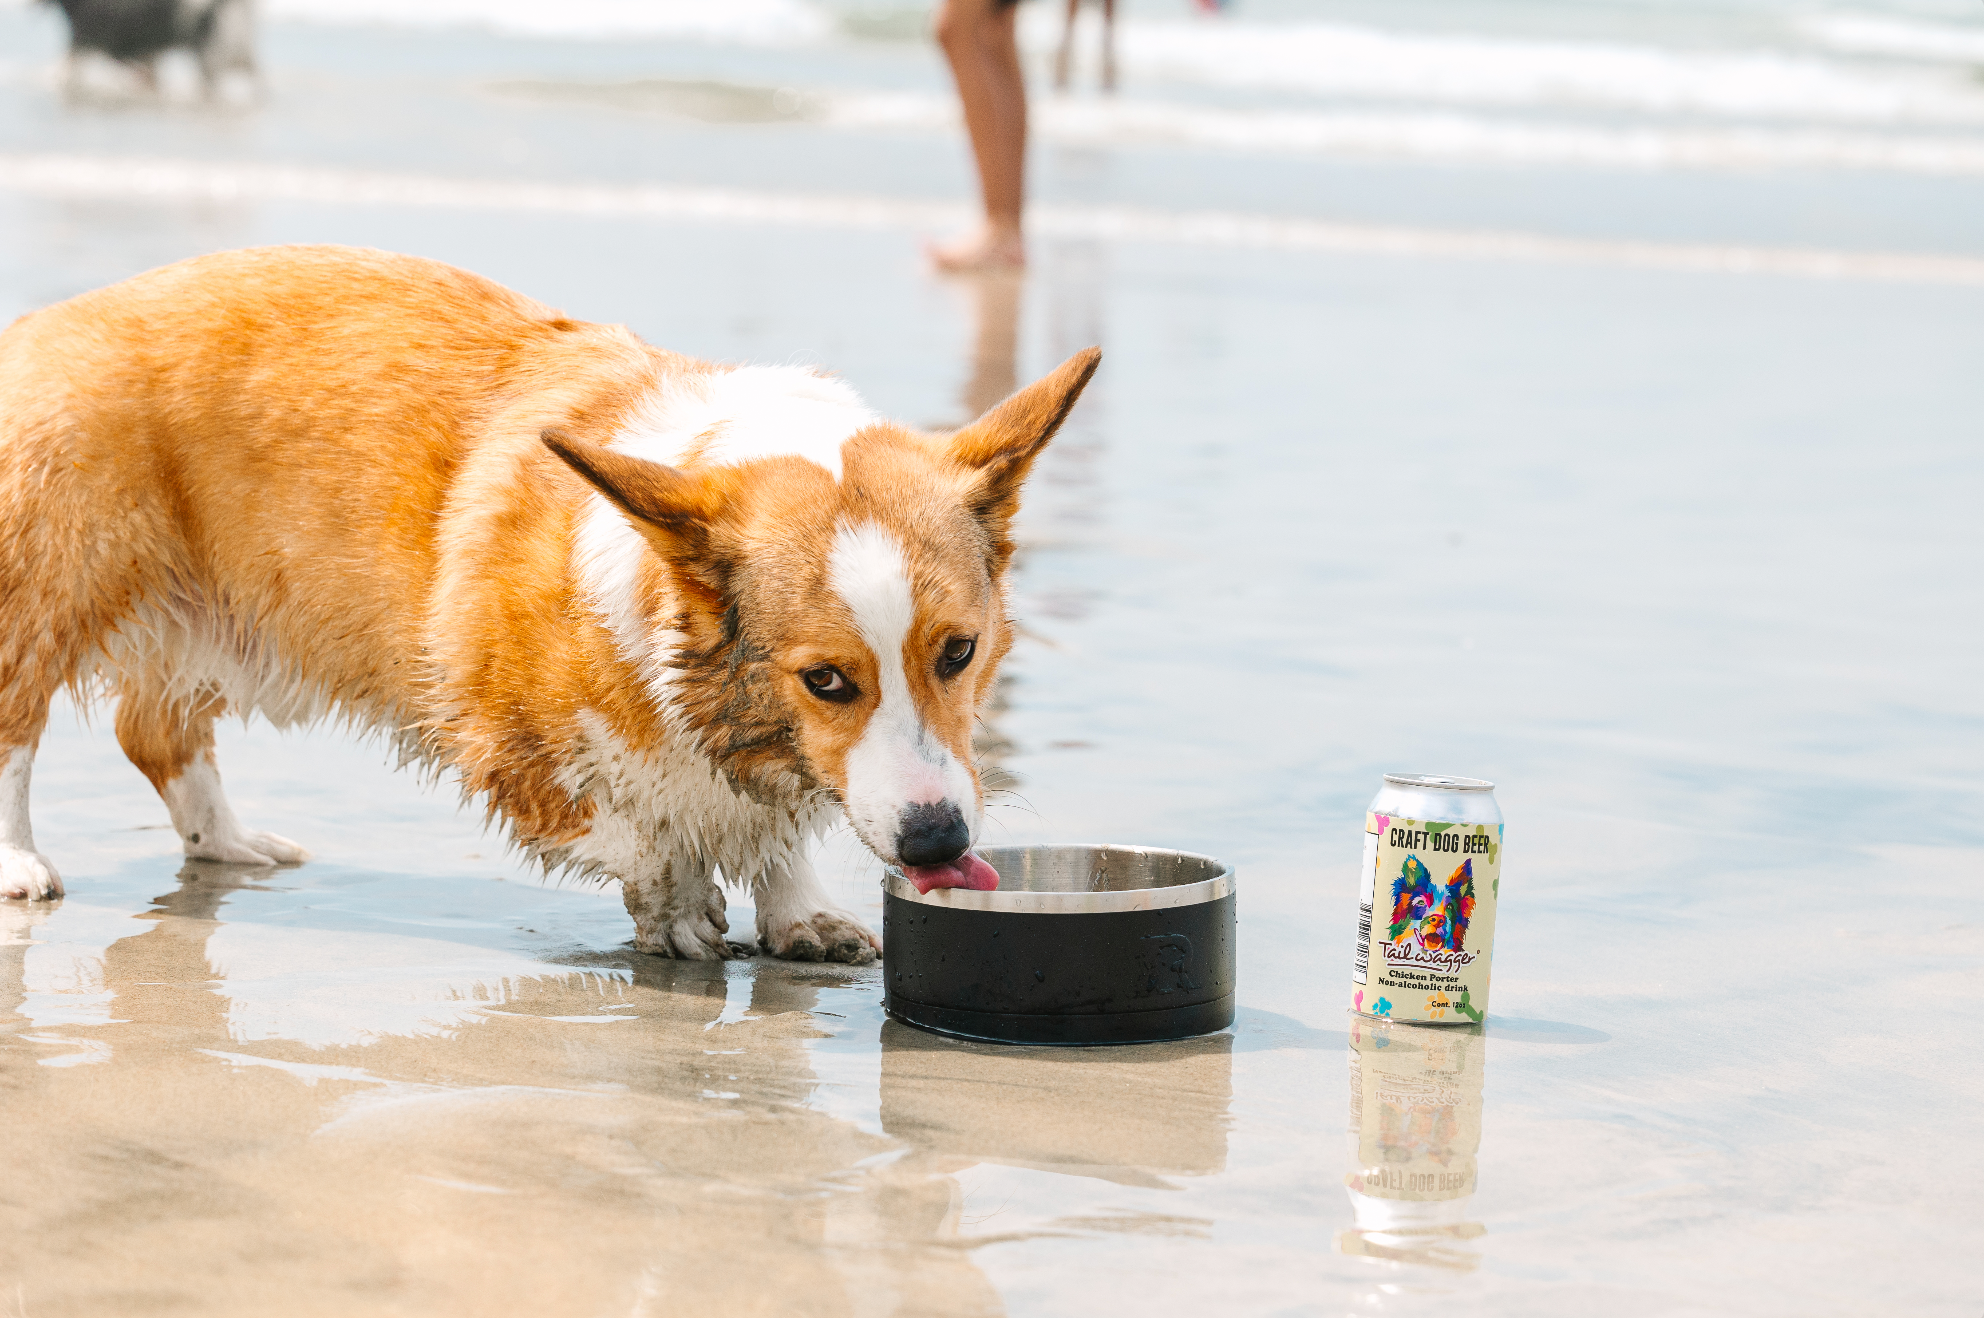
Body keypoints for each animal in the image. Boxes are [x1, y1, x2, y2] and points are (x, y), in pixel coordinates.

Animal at [0, 247, 1103, 964]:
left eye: (959, 652)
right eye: (827, 680)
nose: (939, 847)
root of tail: (41, 321)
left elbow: (769, 830)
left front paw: (798, 911)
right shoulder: (496, 739)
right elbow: (631, 831)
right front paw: (680, 897)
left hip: (207, 628)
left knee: (154, 733)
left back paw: (230, 842)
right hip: (47, 592)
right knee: (18, 731)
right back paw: (18, 864)